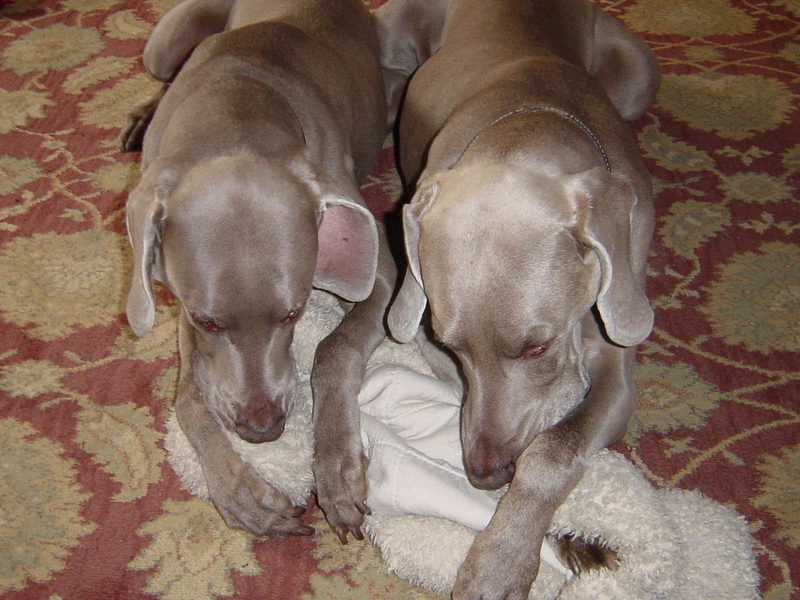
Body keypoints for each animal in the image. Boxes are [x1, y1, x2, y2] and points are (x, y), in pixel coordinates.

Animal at [123, 0, 396, 540]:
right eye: (208, 321)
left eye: (294, 314)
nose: (263, 430)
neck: (236, 106)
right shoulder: (180, 299)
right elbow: (189, 397)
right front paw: (241, 494)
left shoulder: (379, 270)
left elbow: (333, 349)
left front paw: (336, 470)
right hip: (163, 47)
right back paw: (142, 115)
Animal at [378, 0, 660, 596]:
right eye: (450, 345)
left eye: (537, 347)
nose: (485, 476)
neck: (532, 114)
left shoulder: (618, 361)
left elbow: (553, 450)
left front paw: (501, 559)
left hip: (639, 75)